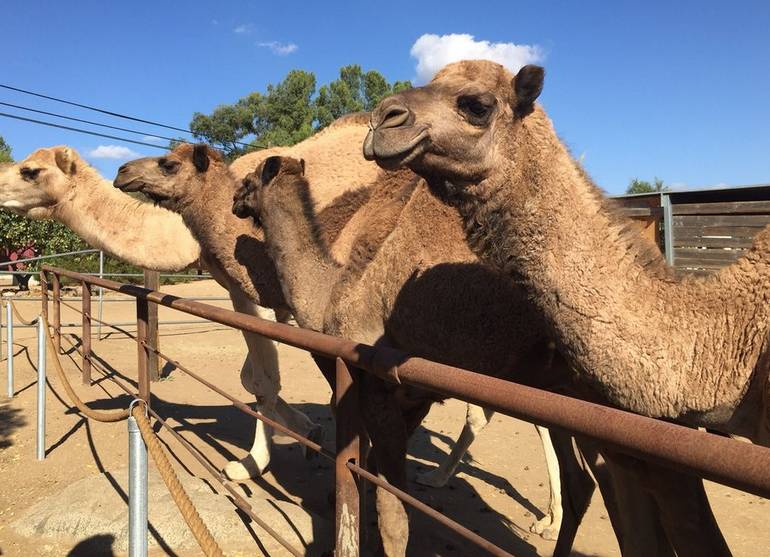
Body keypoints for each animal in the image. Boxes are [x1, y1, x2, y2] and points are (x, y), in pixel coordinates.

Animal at [0, 147, 312, 478]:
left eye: (30, 170)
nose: (122, 171)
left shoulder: (256, 293)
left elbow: (264, 381)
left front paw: (250, 464)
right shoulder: (257, 298)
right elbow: (249, 378)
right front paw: (306, 430)